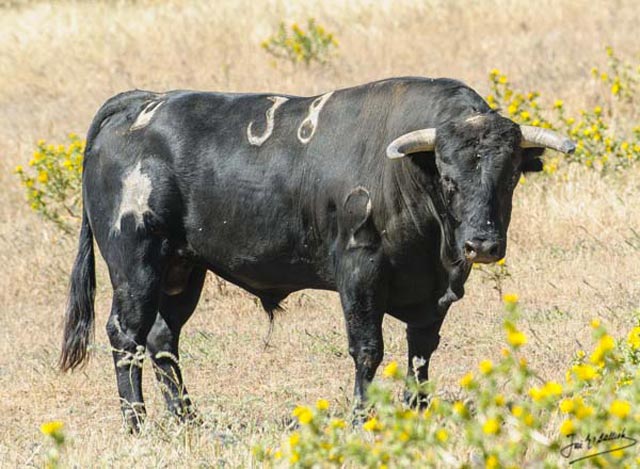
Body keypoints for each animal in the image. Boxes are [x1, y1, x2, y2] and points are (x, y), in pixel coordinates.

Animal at [60, 76, 576, 428]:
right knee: (126, 335)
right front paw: (362, 419)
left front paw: (418, 413)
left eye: (510, 177)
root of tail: (141, 102)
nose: (482, 244)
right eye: (449, 179)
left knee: (162, 339)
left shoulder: (433, 295)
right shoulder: (360, 275)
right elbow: (368, 350)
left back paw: (188, 419)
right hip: (136, 264)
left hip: (182, 269)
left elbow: (420, 354)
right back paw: (137, 423)